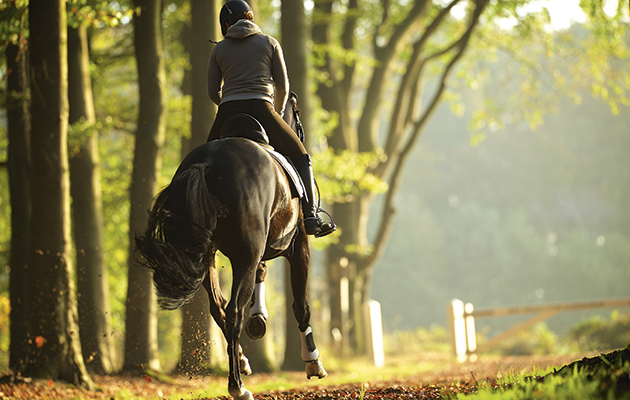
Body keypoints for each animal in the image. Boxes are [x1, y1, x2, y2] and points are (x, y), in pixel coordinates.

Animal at [136, 93, 328, 400]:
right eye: (297, 114)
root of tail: (209, 164)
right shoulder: (299, 248)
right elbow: (301, 305)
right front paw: (313, 362)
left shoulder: (259, 249)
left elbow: (261, 276)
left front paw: (258, 318)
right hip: (243, 257)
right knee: (234, 312)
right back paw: (238, 386)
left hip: (205, 256)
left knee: (220, 308)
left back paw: (240, 360)